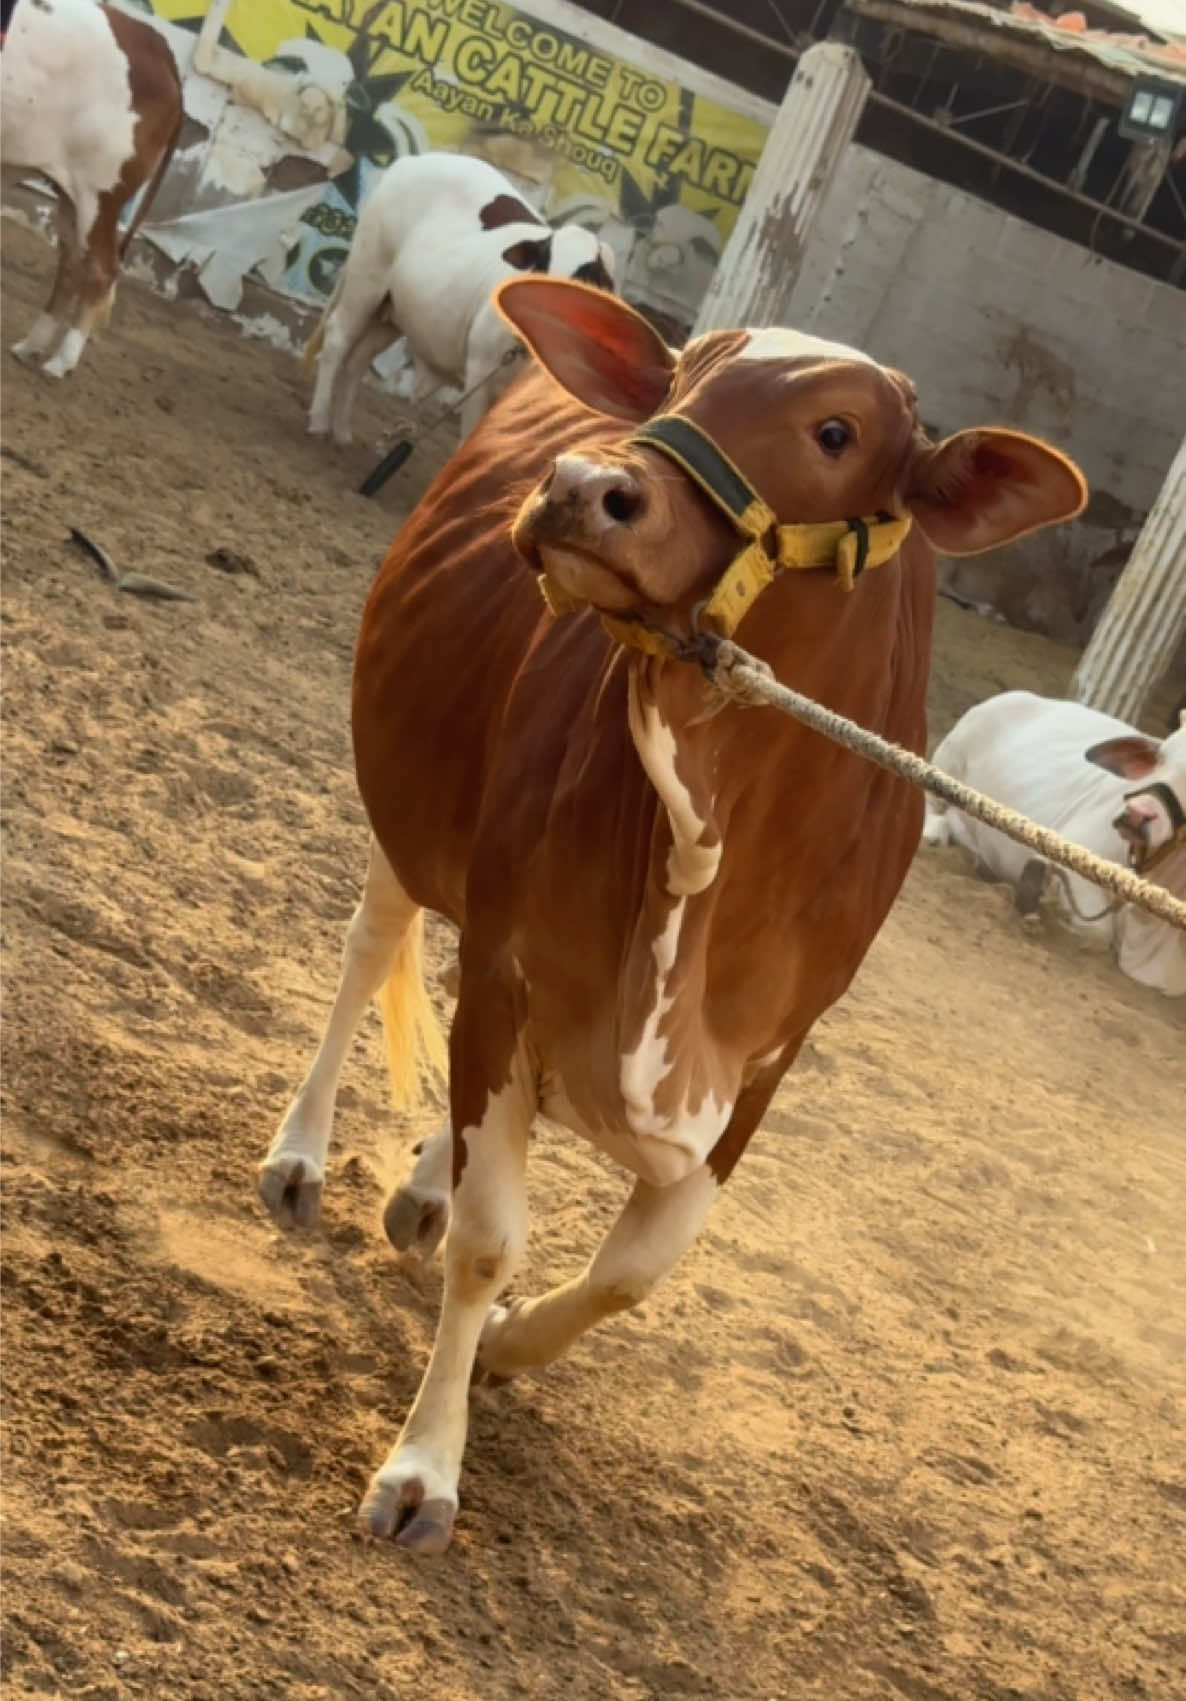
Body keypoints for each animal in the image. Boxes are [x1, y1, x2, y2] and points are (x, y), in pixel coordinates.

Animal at [1, 0, 183, 378]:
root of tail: (157, 44)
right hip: (70, 193)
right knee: (71, 264)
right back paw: (31, 346)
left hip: (101, 194)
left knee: (101, 270)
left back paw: (61, 361)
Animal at [258, 279, 1086, 1553]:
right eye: (680, 378)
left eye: (836, 432)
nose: (580, 486)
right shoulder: (505, 961)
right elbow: (493, 1239)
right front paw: (424, 1466)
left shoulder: (765, 1062)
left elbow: (632, 1269)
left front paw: (512, 1341)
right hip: (409, 810)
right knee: (368, 956)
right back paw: (302, 1155)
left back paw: (424, 1184)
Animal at [303, 152, 615, 446]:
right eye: (541, 260)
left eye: (586, 276)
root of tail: (411, 161)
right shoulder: (480, 365)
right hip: (367, 277)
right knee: (338, 338)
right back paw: (319, 422)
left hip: (392, 312)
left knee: (358, 359)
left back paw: (342, 432)